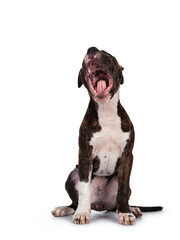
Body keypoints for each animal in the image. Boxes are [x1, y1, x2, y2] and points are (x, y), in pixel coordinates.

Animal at [51, 46, 162, 225]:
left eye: (108, 54)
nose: (91, 49)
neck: (107, 110)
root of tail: (100, 204)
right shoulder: (85, 154)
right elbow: (84, 188)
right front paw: (82, 213)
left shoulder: (127, 156)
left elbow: (122, 189)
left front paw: (125, 213)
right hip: (73, 174)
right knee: (75, 201)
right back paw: (66, 208)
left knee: (118, 200)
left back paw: (131, 209)